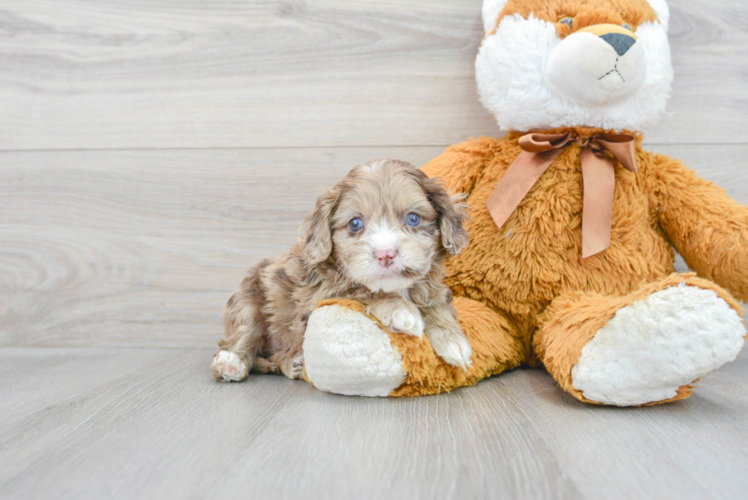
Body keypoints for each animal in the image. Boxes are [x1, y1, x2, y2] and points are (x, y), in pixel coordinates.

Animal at [207, 160, 470, 382]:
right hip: (248, 300)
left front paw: (453, 340)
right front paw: (401, 310)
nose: (385, 254)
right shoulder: (320, 296)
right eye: (355, 223)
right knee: (245, 334)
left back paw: (294, 362)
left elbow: (436, 304)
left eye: (413, 218)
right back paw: (232, 363)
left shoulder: (431, 286)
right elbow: (362, 290)